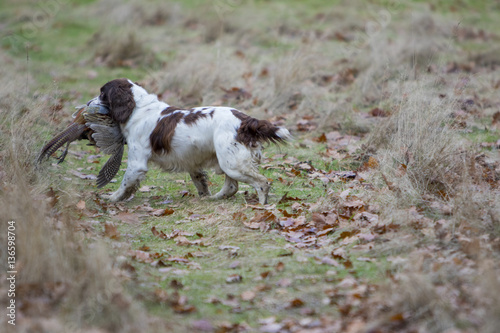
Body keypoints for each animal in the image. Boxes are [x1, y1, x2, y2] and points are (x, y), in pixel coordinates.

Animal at [86, 79, 292, 204]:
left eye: (102, 93)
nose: (88, 103)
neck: (138, 108)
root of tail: (244, 120)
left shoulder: (137, 163)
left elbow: (124, 183)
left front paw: (111, 198)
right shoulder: (193, 163)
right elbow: (200, 182)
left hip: (232, 163)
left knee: (261, 183)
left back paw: (262, 205)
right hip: (228, 160)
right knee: (232, 186)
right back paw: (213, 199)